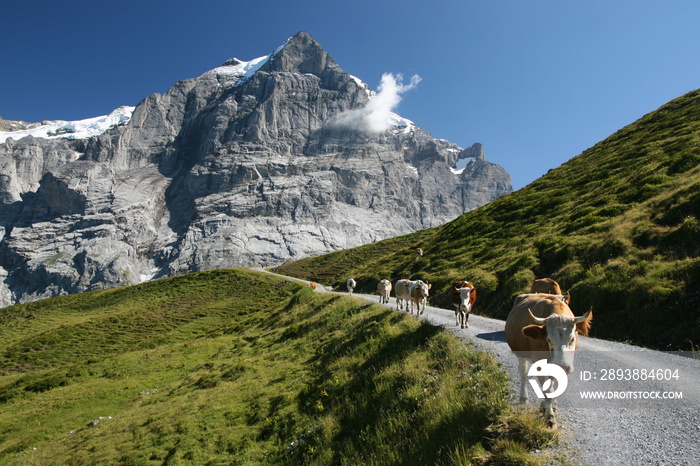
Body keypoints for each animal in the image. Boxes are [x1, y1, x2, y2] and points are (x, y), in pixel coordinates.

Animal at [504, 294, 592, 428]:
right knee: (523, 374)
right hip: (521, 354)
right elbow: (548, 391)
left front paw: (550, 407)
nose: (563, 365)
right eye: (549, 339)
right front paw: (550, 418)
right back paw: (524, 398)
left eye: (572, 339)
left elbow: (555, 388)